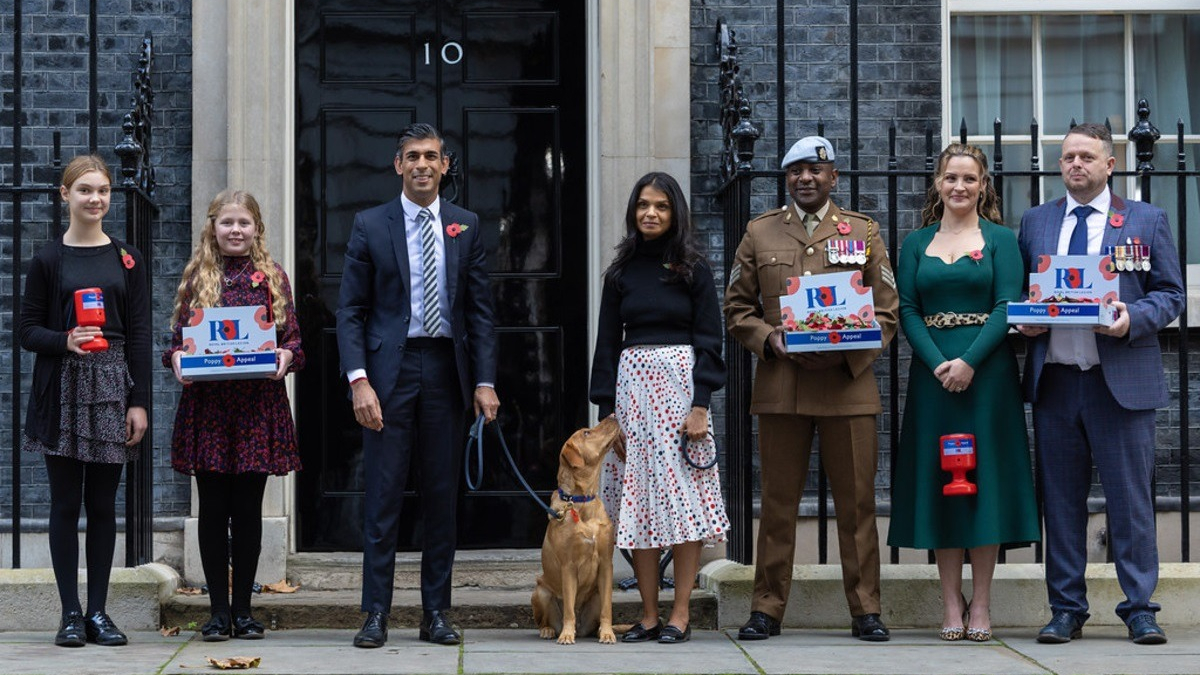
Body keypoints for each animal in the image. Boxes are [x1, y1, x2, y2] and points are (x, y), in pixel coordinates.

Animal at [535, 415, 628, 638]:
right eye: (586, 432)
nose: (613, 414)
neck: (583, 500)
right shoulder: (568, 566)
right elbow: (569, 607)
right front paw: (567, 635)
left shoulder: (606, 563)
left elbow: (607, 609)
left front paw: (607, 633)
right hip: (541, 591)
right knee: (543, 619)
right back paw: (549, 630)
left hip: (596, 595)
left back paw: (598, 631)